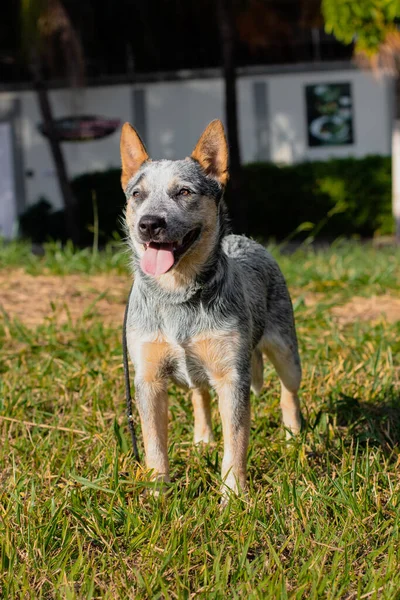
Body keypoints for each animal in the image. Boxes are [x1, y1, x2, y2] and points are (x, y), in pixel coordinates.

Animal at [120, 119, 302, 494]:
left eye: (184, 192)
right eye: (137, 194)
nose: (149, 223)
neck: (177, 295)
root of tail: (244, 239)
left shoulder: (232, 377)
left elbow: (236, 441)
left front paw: (233, 495)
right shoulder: (148, 379)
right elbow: (154, 444)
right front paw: (158, 493)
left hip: (286, 351)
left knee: (289, 390)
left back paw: (293, 436)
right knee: (198, 394)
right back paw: (203, 439)